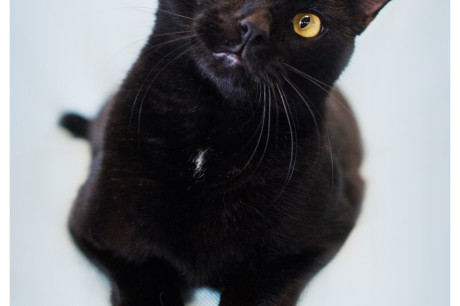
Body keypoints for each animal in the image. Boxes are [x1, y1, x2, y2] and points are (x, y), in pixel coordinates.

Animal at [61, 1, 390, 304]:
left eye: (306, 23)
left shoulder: (316, 240)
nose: (254, 29)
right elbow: (146, 284)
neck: (212, 131)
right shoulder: (99, 233)